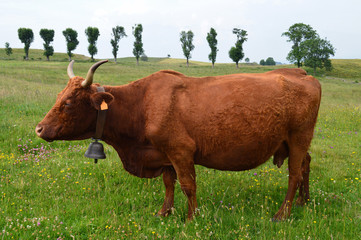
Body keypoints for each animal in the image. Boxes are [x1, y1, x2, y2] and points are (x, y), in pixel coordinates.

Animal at [35, 60, 320, 221]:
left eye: (68, 103)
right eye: (59, 96)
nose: (39, 128)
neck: (141, 104)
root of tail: (301, 72)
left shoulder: (181, 151)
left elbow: (187, 185)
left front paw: (191, 218)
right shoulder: (163, 154)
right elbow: (168, 184)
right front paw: (165, 212)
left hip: (298, 138)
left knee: (294, 174)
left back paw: (282, 214)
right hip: (294, 142)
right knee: (306, 164)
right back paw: (304, 201)